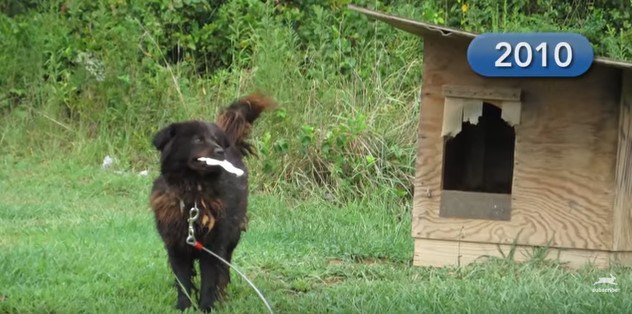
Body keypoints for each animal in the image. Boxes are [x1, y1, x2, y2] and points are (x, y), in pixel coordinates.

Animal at [151, 92, 274, 310]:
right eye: (197, 139)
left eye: (215, 140)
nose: (219, 151)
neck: (192, 194)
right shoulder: (175, 246)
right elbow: (182, 281)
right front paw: (183, 307)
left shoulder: (213, 245)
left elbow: (210, 279)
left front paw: (207, 306)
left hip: (231, 236)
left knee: (224, 269)